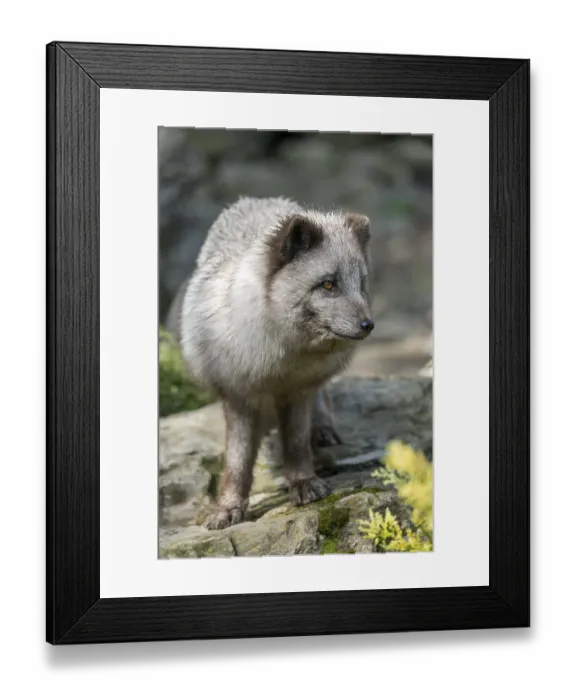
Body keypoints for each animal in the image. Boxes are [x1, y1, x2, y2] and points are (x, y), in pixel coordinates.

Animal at [166, 196, 374, 529]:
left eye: (361, 284)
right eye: (328, 285)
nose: (369, 325)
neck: (279, 361)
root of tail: (258, 200)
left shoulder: (298, 390)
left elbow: (297, 444)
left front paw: (303, 483)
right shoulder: (237, 396)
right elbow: (237, 461)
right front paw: (228, 507)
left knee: (323, 394)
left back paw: (323, 428)